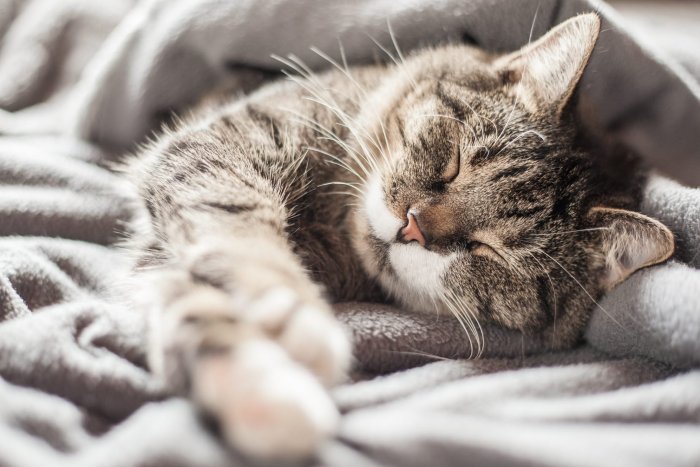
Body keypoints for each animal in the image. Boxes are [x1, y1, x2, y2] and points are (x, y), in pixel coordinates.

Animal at [124, 13, 672, 460]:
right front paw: (283, 325)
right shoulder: (217, 149)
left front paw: (261, 385)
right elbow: (237, 241)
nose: (413, 226)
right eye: (455, 163)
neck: (336, 233)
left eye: (490, 250)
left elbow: (196, 299)